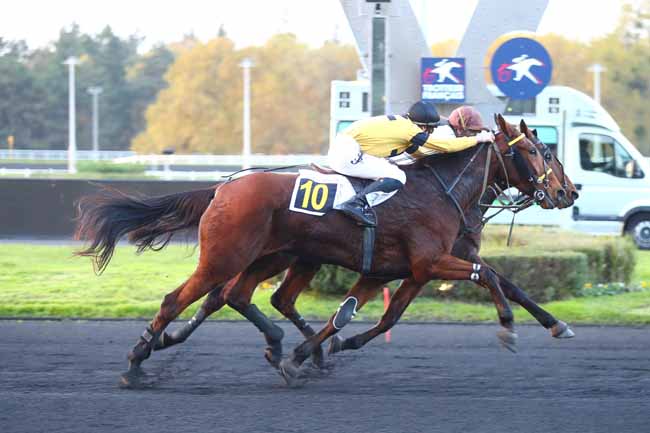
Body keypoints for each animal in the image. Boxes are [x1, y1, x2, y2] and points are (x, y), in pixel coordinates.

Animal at [73, 112, 560, 384]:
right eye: (538, 152)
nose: (566, 192)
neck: (441, 190)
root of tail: (223, 187)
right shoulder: (430, 262)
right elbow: (489, 276)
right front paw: (508, 326)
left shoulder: (397, 269)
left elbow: (366, 316)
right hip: (228, 255)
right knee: (184, 298)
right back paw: (138, 362)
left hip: (276, 256)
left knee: (241, 296)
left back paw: (275, 344)